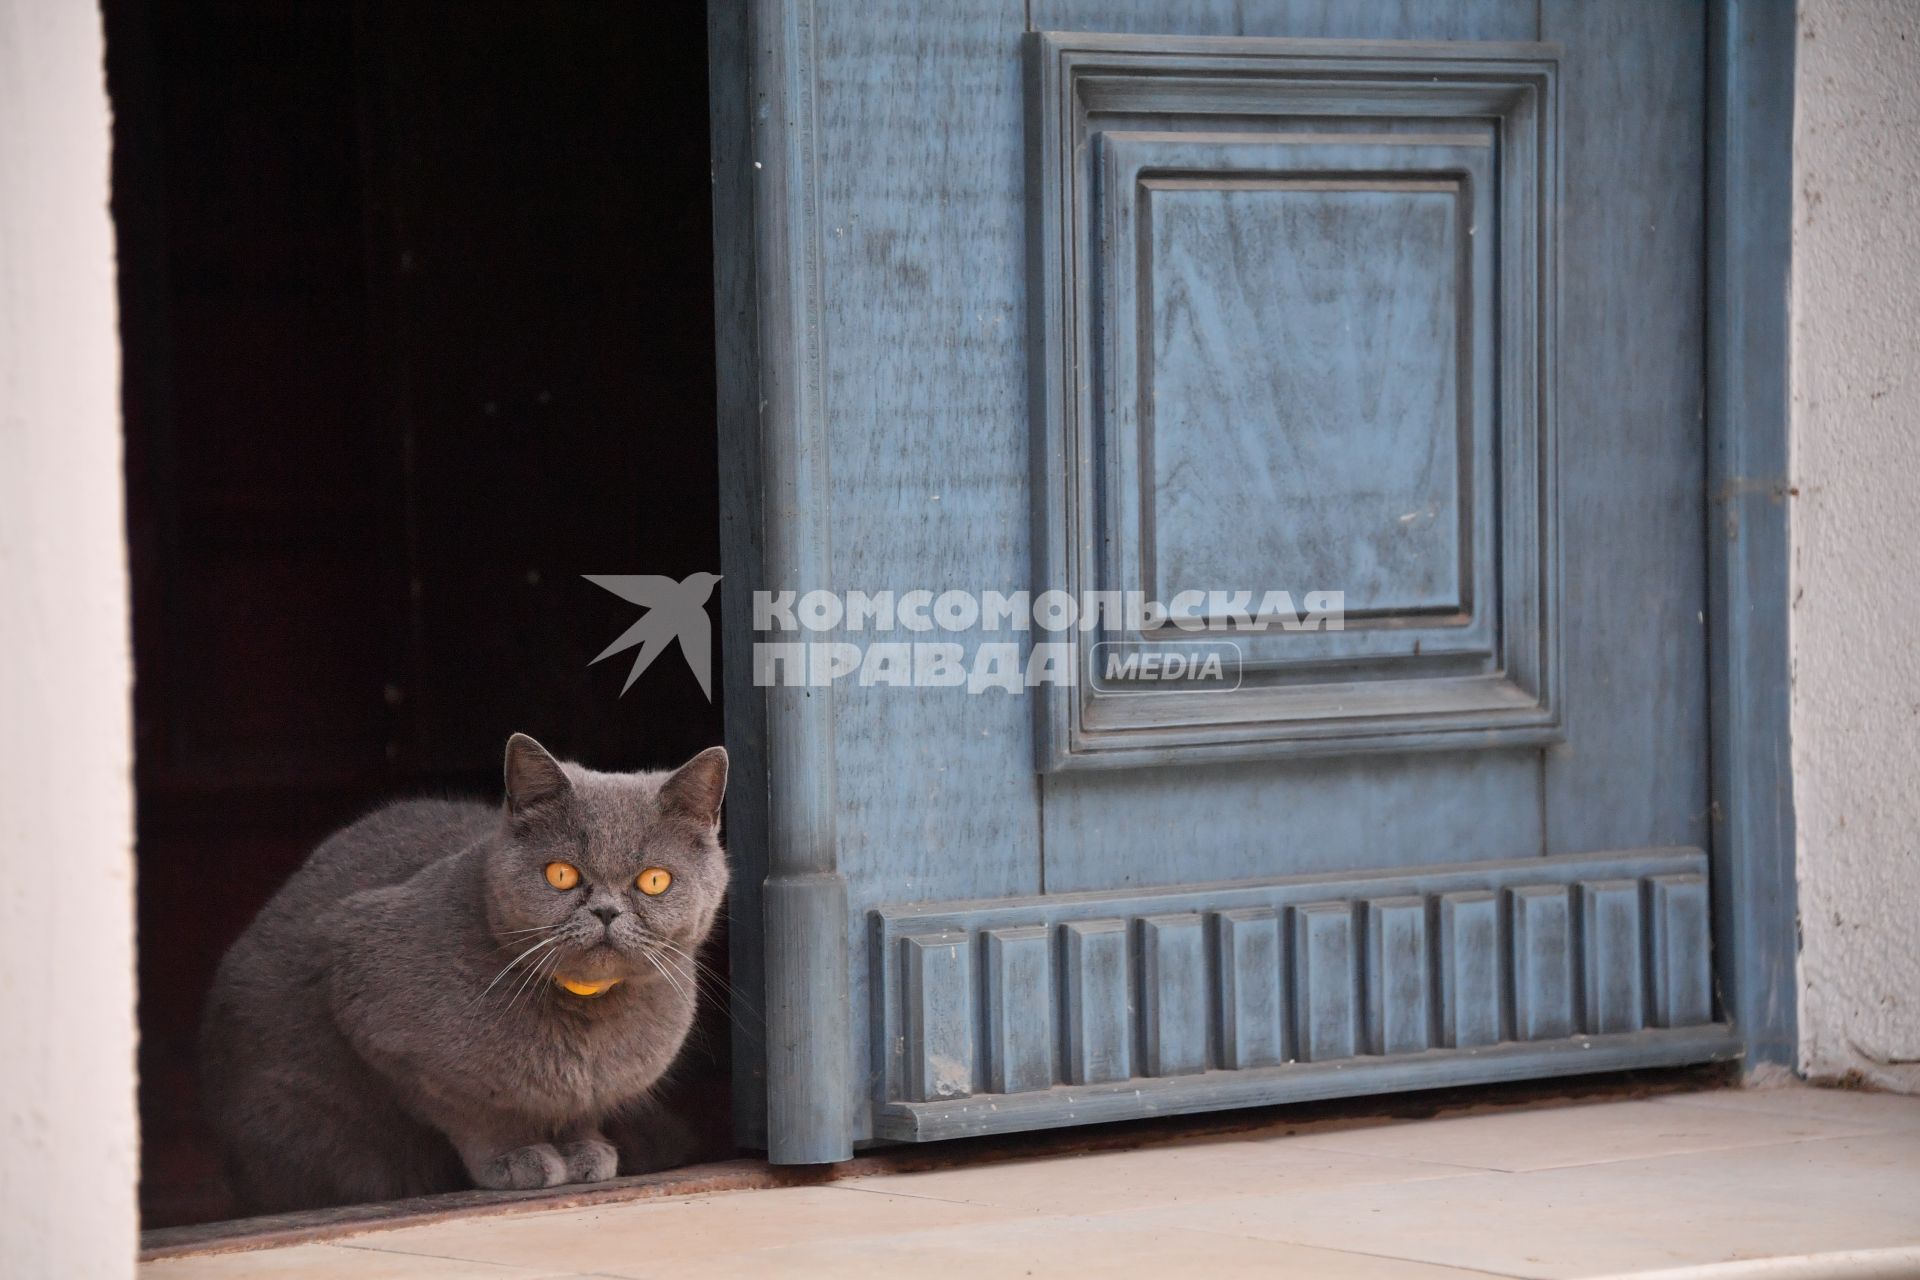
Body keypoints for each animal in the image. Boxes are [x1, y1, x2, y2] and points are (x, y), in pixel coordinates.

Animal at [200, 729, 725, 1212]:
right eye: (561, 874)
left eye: (654, 880)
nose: (606, 911)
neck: (584, 1019)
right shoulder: (385, 1028)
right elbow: (476, 1113)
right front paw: (516, 1158)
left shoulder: (600, 1086)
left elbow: (580, 1108)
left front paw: (586, 1151)